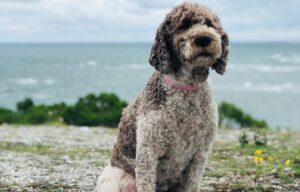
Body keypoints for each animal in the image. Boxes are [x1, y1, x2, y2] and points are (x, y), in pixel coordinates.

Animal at [96, 1, 227, 192]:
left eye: (210, 24)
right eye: (184, 25)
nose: (203, 38)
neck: (186, 87)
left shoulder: (200, 155)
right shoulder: (148, 152)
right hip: (112, 178)